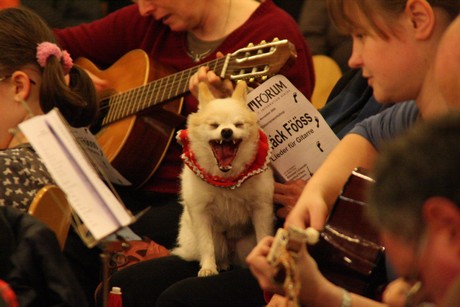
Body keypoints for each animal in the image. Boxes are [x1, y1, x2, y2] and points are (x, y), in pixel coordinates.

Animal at [172, 80, 274, 278]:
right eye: (214, 125)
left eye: (238, 124)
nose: (226, 131)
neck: (227, 179)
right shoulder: (201, 213)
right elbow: (206, 245)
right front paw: (208, 268)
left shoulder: (261, 209)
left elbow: (263, 236)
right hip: (216, 241)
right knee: (216, 251)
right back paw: (222, 263)